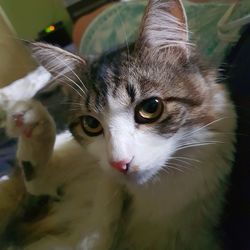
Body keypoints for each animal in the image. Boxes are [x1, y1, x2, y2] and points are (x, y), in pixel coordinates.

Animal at [0, 0, 236, 249]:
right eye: (90, 124)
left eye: (150, 107)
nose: (119, 164)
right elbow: (43, 184)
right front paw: (30, 121)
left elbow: (96, 234)